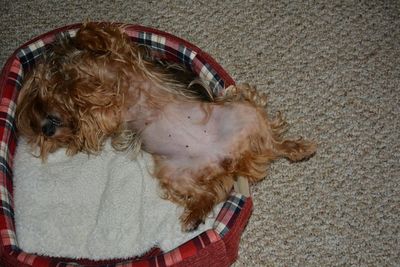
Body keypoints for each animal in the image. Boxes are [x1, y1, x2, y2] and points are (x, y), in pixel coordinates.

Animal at [16, 22, 316, 232]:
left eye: (36, 104)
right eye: (40, 136)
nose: (47, 131)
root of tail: (230, 161)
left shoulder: (121, 55)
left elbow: (95, 36)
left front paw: (79, 64)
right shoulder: (106, 117)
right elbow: (90, 109)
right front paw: (78, 97)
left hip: (244, 112)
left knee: (274, 142)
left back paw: (299, 147)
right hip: (174, 173)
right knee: (208, 193)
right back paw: (194, 216)